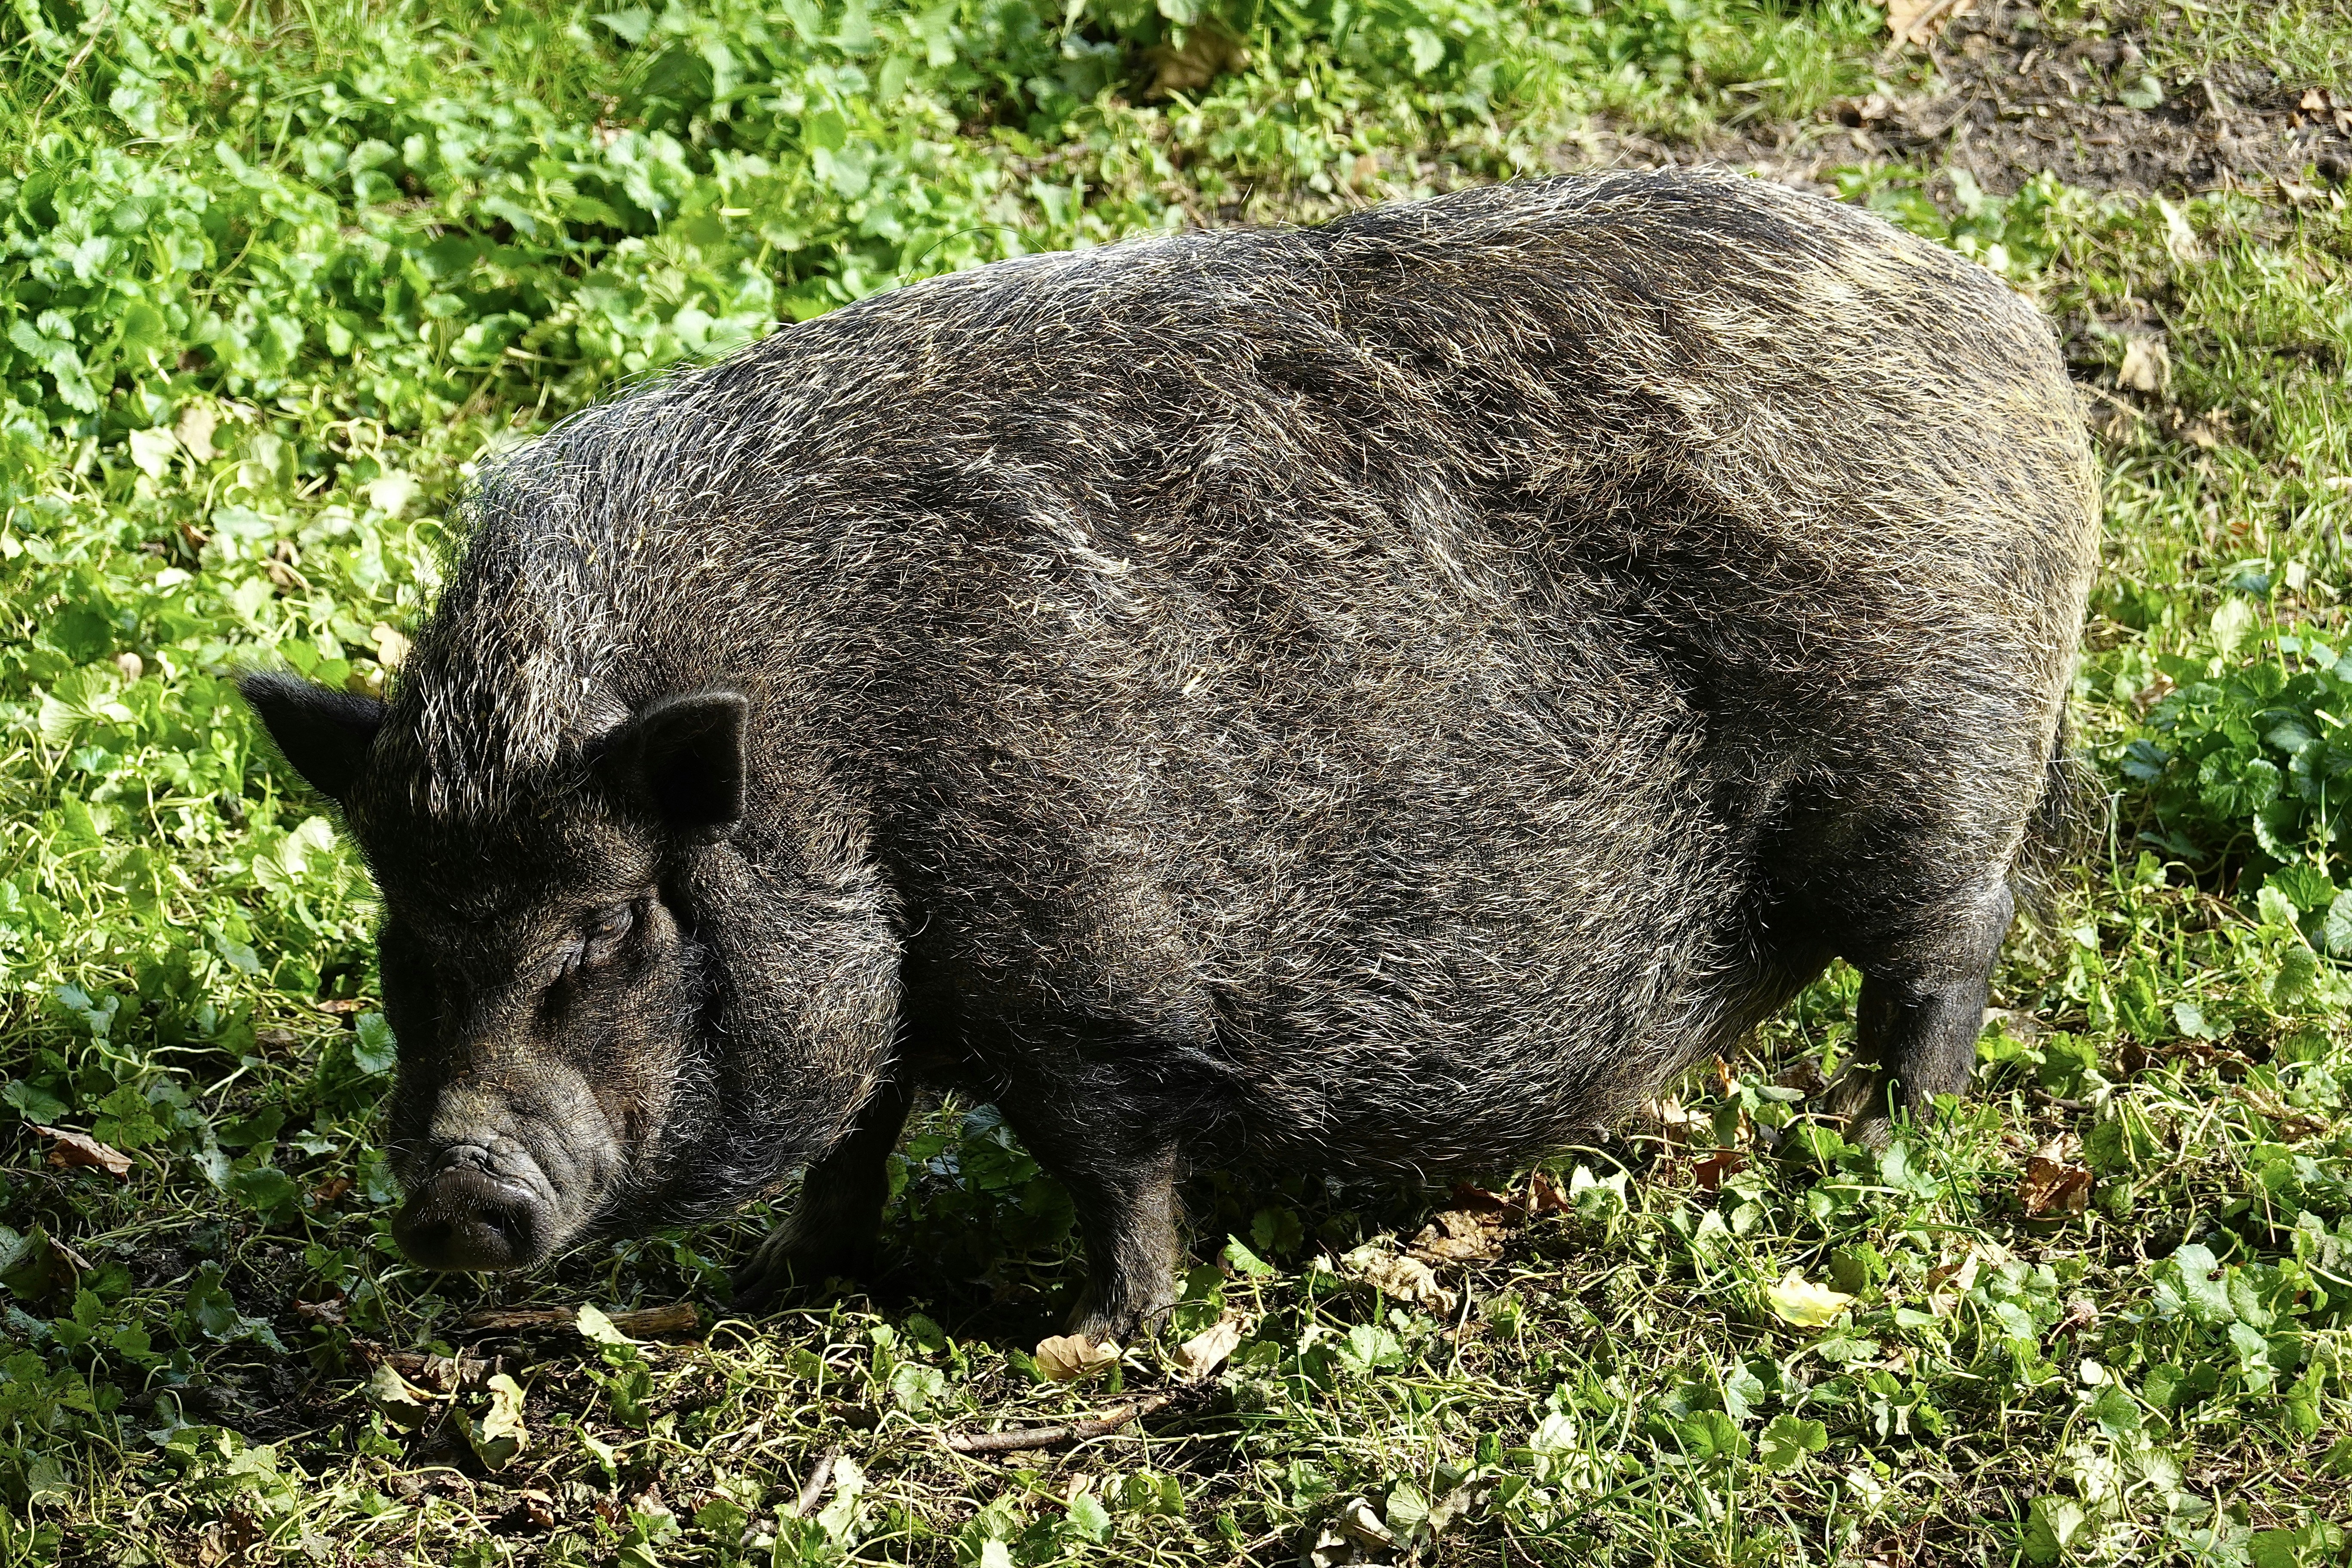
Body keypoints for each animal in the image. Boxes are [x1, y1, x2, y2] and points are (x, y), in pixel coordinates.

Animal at [241, 169, 2098, 1339]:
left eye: (607, 929)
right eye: (400, 934)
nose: (450, 1193)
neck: (830, 776)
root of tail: (2011, 336)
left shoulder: (1083, 971)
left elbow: (1112, 1169)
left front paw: (1082, 1343)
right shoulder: (899, 989)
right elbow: (855, 1135)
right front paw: (774, 1283)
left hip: (1926, 778)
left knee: (1952, 952)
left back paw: (1876, 1142)